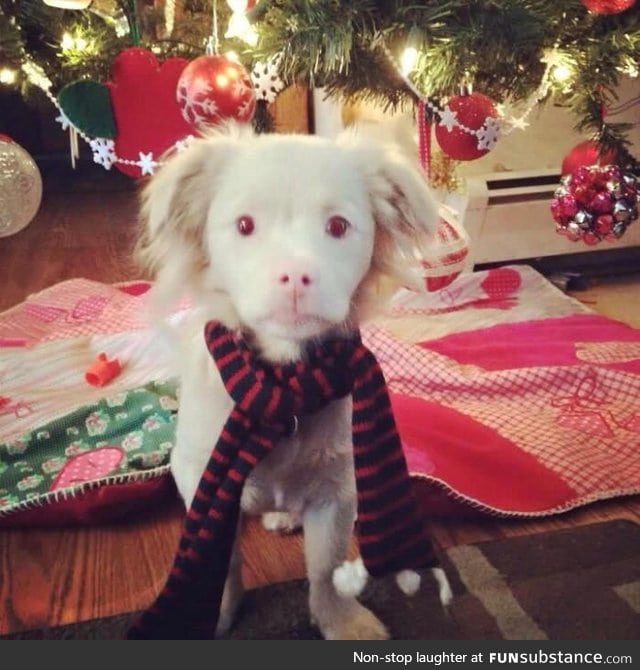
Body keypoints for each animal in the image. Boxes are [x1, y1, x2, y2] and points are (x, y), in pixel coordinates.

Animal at [138, 121, 442, 640]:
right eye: (244, 225)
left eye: (338, 227)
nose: (296, 276)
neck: (283, 387)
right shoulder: (201, 476)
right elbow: (221, 560)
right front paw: (215, 613)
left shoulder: (339, 492)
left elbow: (325, 568)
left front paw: (340, 621)